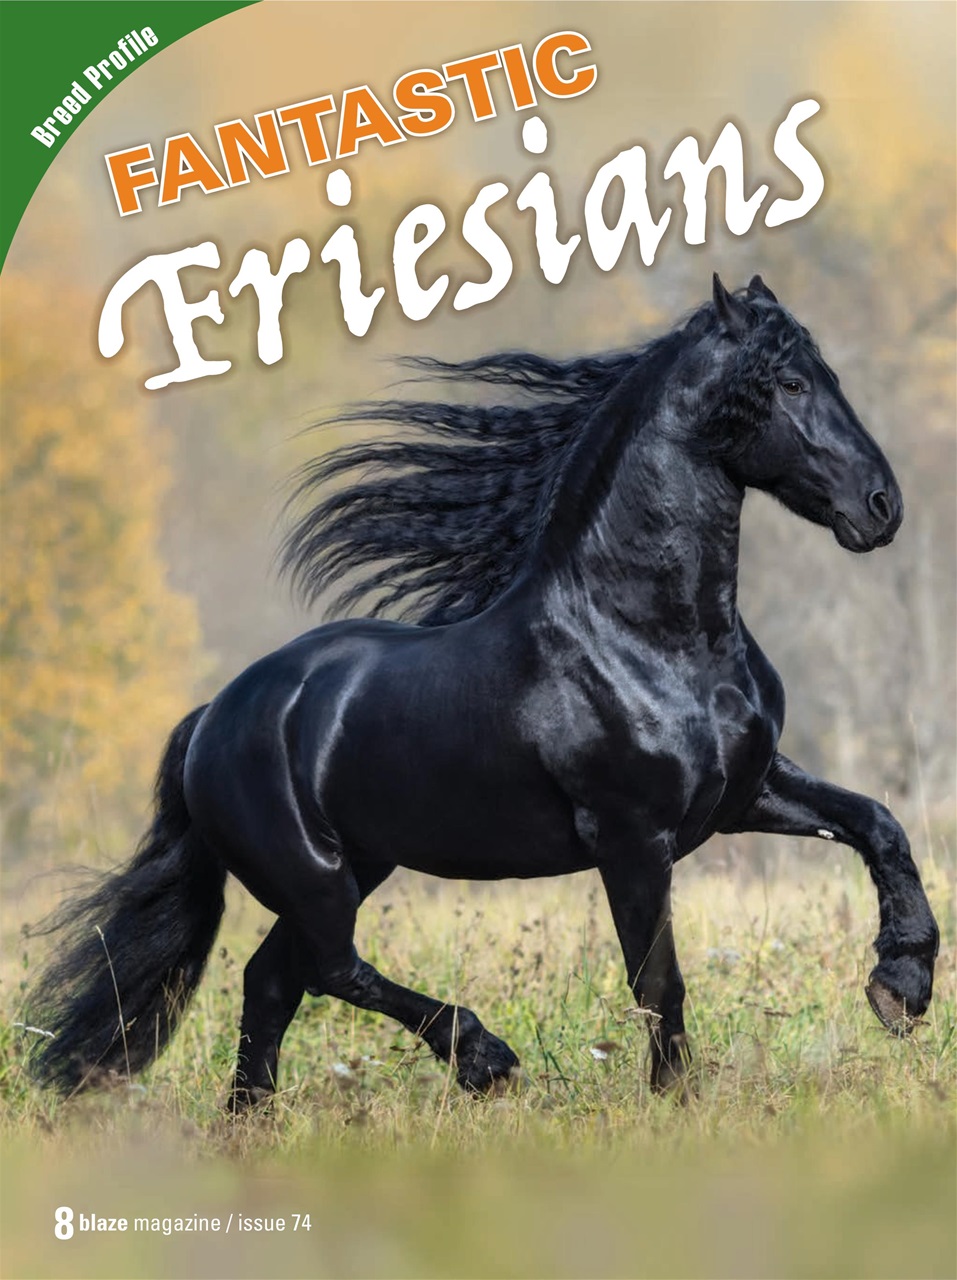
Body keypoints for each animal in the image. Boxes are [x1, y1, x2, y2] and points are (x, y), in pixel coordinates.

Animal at [26, 276, 939, 1108]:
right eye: (788, 384)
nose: (881, 506)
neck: (649, 635)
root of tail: (211, 718)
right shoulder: (631, 837)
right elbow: (657, 980)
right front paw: (673, 1103)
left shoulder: (743, 792)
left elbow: (877, 825)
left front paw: (901, 986)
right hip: (314, 873)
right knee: (326, 966)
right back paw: (482, 1058)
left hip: (360, 861)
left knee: (273, 979)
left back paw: (252, 1124)